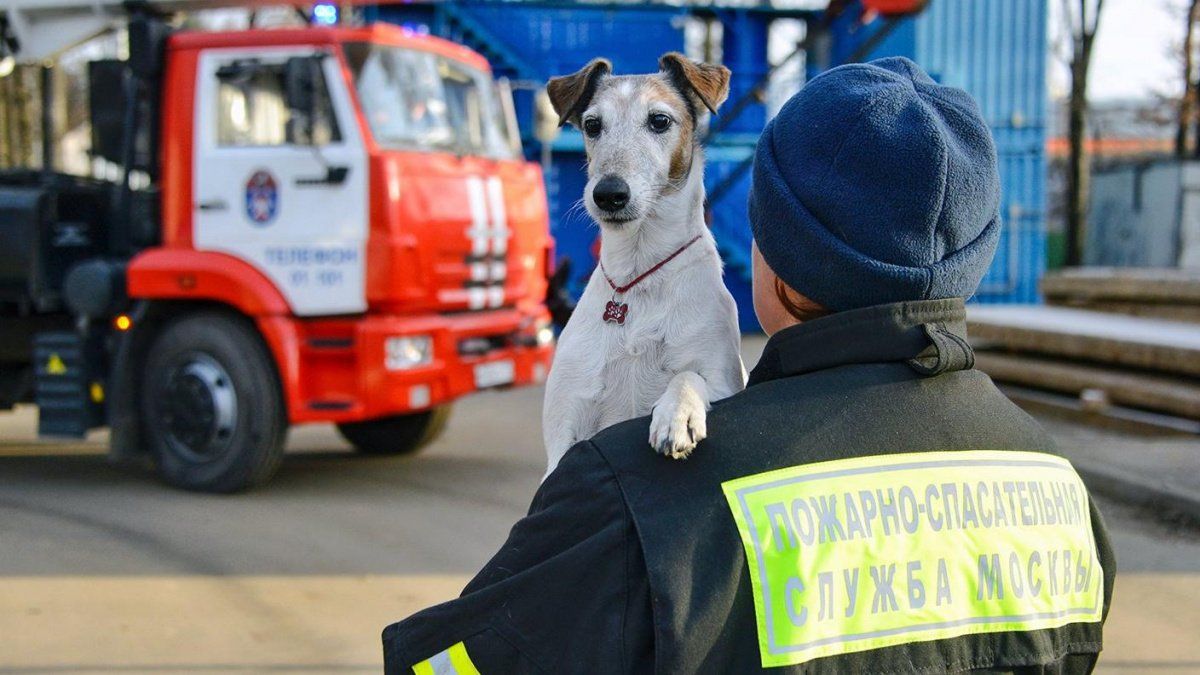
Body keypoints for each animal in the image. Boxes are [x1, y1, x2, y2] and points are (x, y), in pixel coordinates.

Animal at [544, 52, 748, 473]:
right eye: (592, 125)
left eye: (659, 121)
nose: (608, 193)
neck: (637, 279)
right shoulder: (562, 433)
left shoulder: (722, 378)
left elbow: (687, 377)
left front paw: (676, 415)